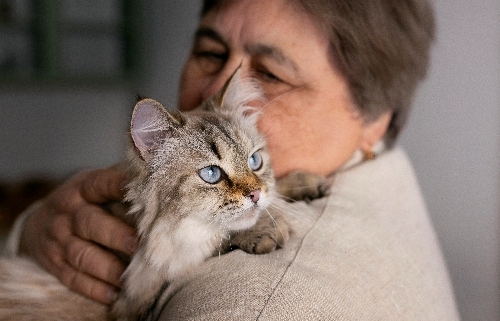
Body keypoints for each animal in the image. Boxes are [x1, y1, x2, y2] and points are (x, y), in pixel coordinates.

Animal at [0, 70, 294, 320]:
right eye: (211, 174)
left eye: (255, 161)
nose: (255, 194)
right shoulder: (138, 288)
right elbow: (213, 240)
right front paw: (268, 228)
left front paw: (297, 184)